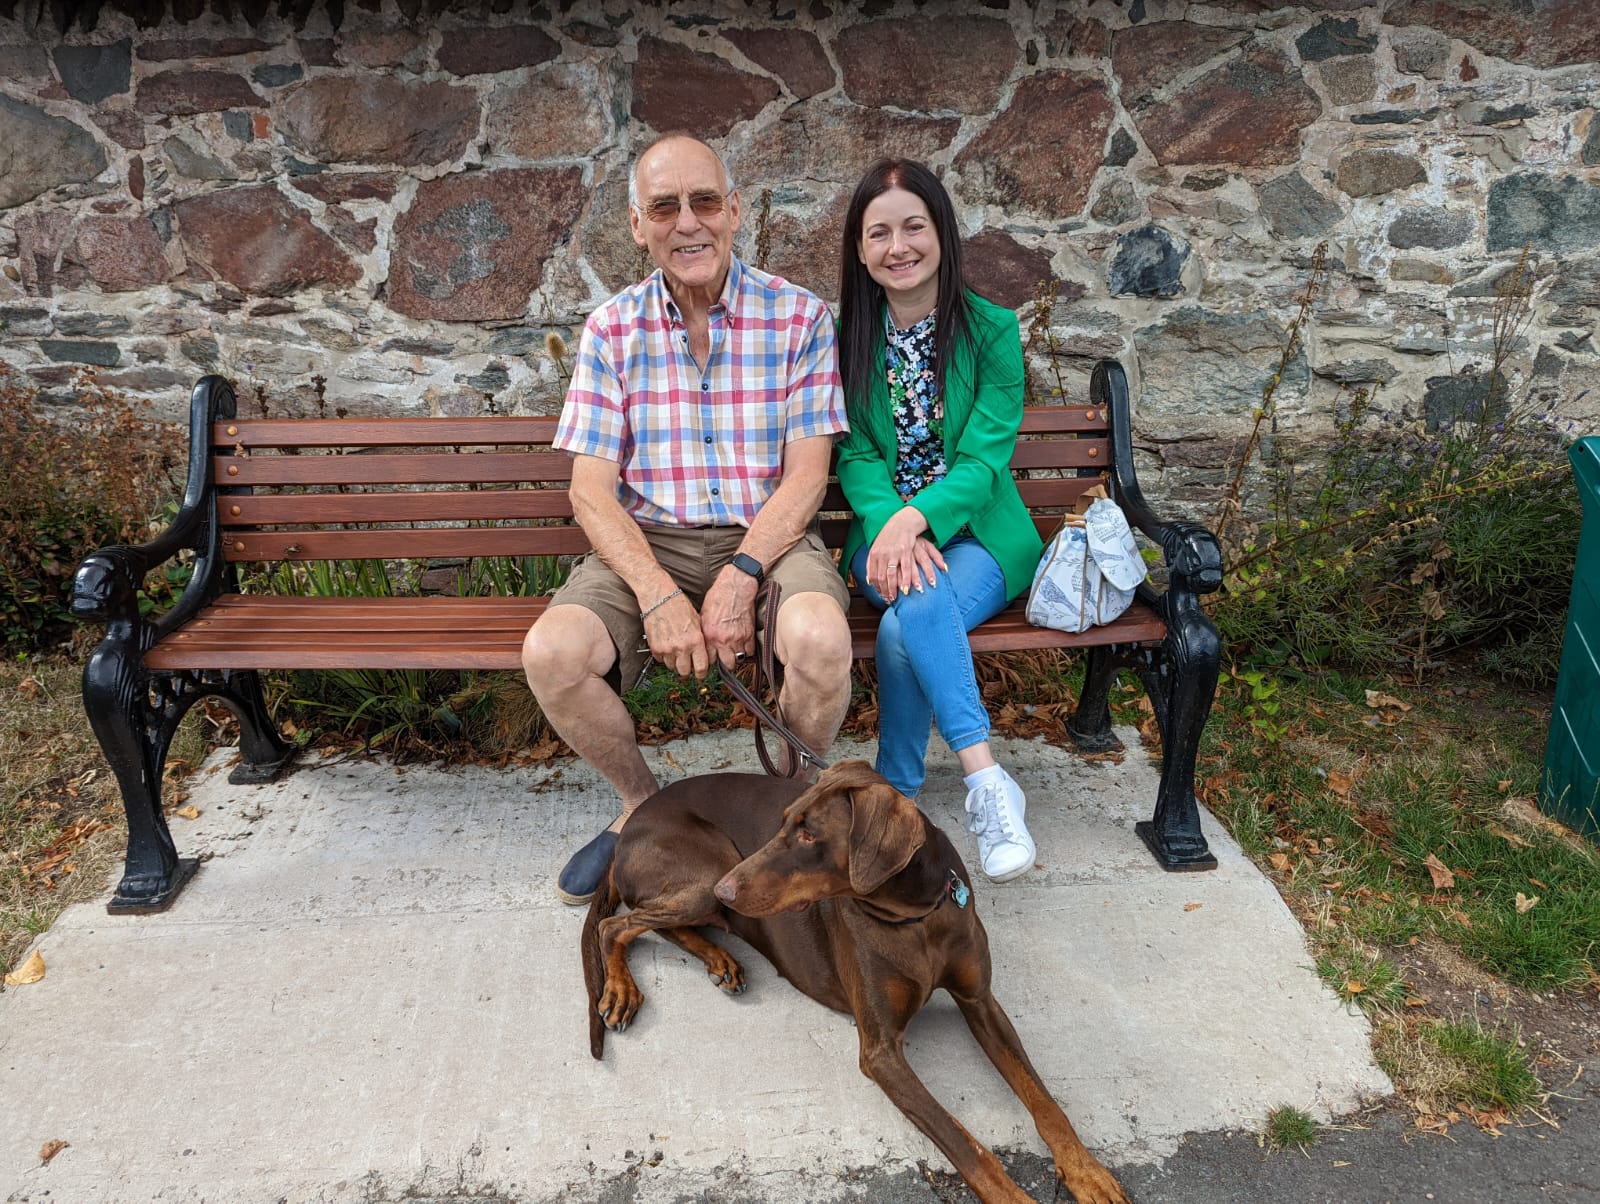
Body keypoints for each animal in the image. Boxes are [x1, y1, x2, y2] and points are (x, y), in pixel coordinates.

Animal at [585, 765, 1126, 1197]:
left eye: (809, 835)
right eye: (784, 822)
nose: (728, 890)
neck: (916, 919)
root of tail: (626, 831)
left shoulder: (980, 1000)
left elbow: (1045, 1101)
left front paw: (1088, 1174)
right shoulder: (881, 1051)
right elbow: (965, 1144)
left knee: (663, 924)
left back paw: (720, 958)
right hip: (704, 870)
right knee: (616, 925)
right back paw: (623, 989)